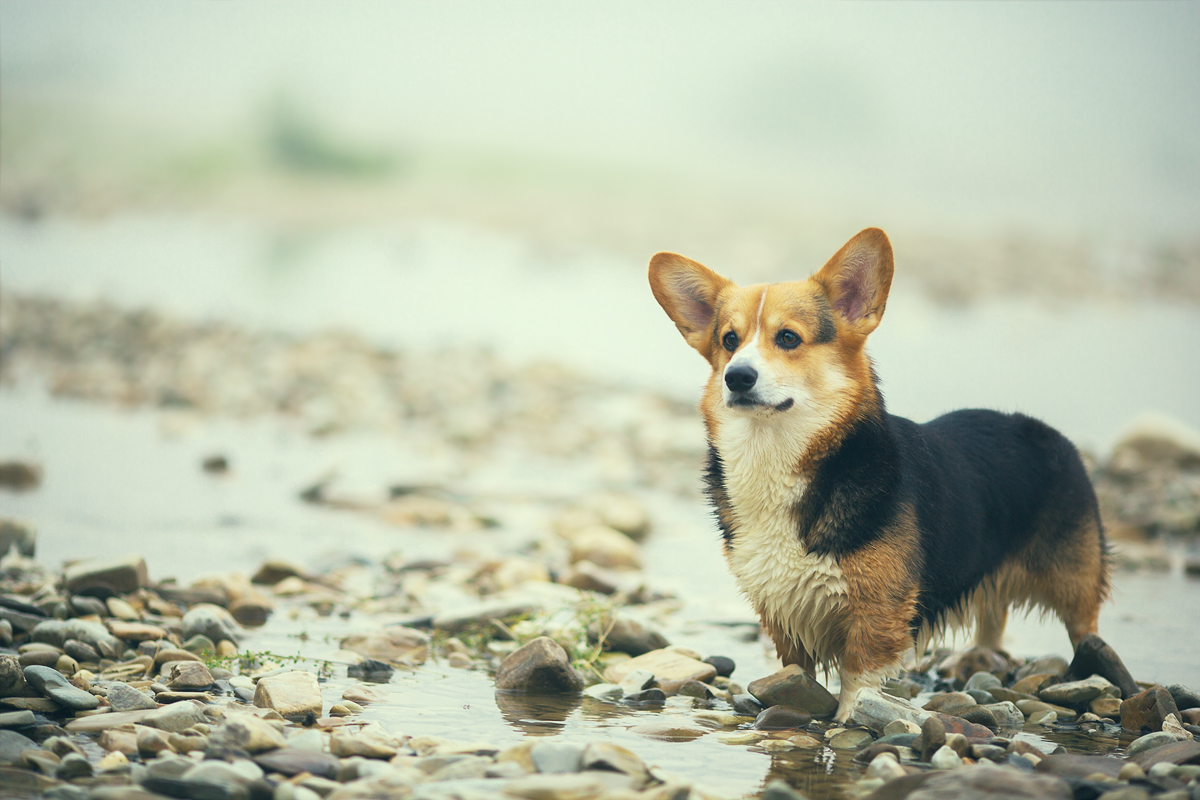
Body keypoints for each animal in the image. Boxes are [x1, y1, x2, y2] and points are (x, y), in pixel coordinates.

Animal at [652, 227, 1108, 724]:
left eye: (788, 338)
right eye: (729, 340)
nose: (736, 377)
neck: (779, 456)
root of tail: (1041, 428)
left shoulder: (878, 611)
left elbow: (859, 679)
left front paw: (849, 720)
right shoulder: (783, 612)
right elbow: (796, 674)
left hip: (1075, 581)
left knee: (1087, 632)